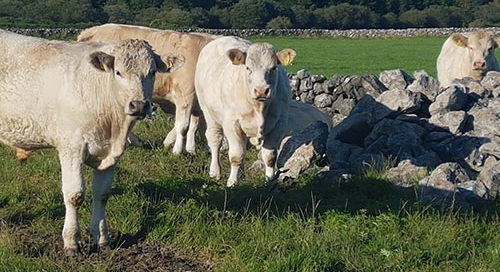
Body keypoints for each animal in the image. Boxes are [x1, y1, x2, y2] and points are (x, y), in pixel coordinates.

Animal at [0, 29, 185, 255]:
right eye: (118, 72)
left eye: (151, 72)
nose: (139, 105)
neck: (113, 126)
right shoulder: (71, 147)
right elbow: (75, 195)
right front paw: (72, 241)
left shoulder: (112, 154)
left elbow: (102, 194)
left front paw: (102, 238)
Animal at [194, 36, 296, 187]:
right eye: (248, 67)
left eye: (273, 68)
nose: (261, 90)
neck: (259, 107)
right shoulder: (232, 123)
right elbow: (236, 155)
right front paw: (232, 182)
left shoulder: (279, 124)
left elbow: (270, 157)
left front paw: (270, 180)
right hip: (208, 112)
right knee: (215, 139)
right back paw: (215, 171)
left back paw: (241, 174)